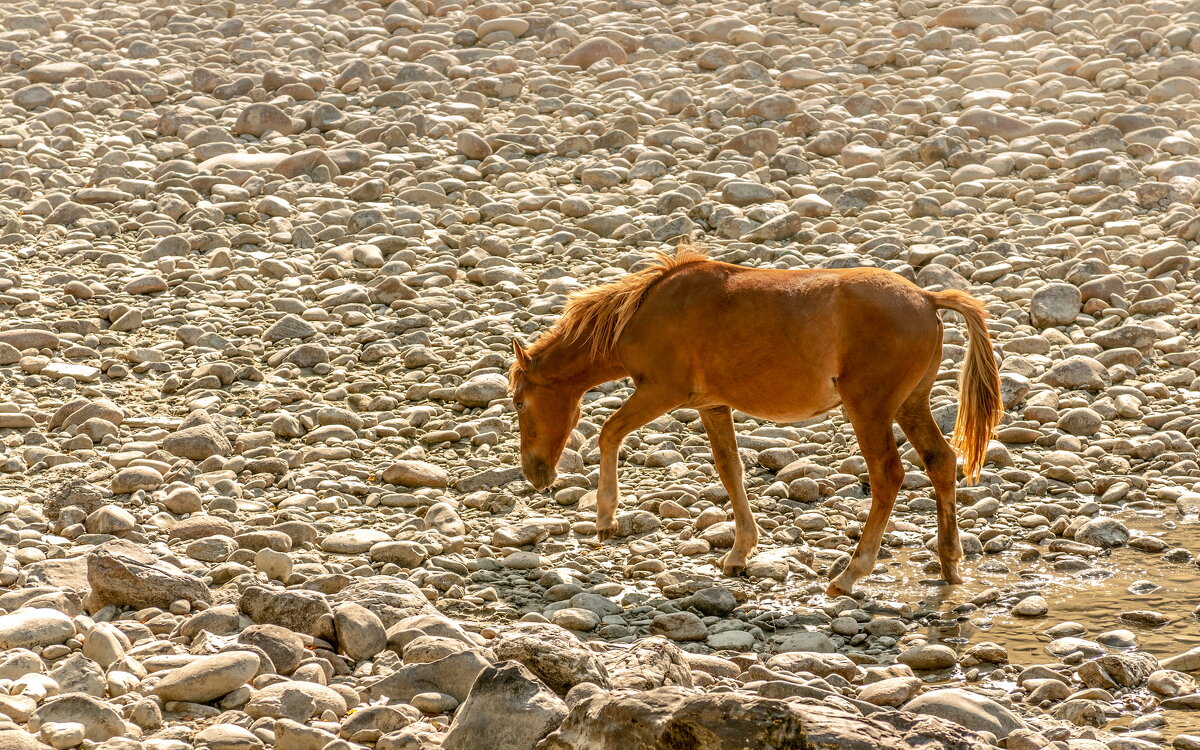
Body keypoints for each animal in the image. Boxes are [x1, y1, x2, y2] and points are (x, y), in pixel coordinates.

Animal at [506, 244, 1003, 597]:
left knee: (888, 476)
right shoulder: (712, 405)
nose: (534, 473)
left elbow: (609, 433)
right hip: (909, 405)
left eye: (518, 402)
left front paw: (606, 517)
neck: (647, 310)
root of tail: (926, 298)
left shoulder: (660, 392)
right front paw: (740, 552)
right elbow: (730, 469)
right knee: (941, 462)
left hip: (870, 410)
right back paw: (949, 562)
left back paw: (851, 573)